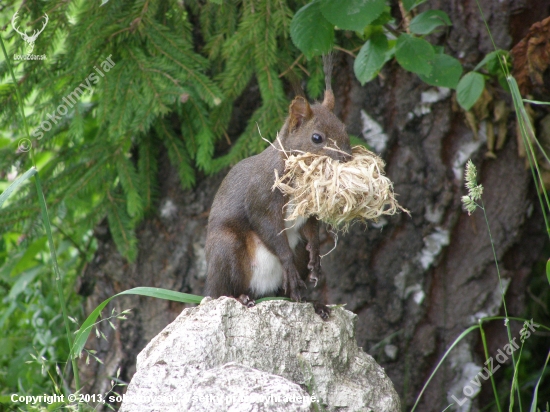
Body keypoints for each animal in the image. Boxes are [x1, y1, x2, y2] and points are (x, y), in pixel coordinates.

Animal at [204, 54, 354, 318]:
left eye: (344, 129)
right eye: (317, 138)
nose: (346, 158)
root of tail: (261, 291)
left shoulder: (307, 210)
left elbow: (311, 230)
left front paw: (316, 257)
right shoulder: (262, 197)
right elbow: (269, 229)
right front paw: (287, 263)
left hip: (295, 253)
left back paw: (311, 302)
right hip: (226, 248)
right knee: (222, 292)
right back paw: (241, 298)